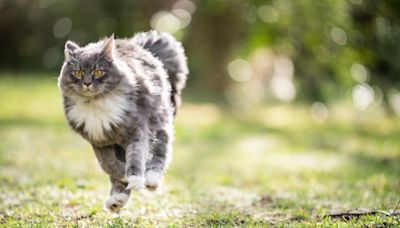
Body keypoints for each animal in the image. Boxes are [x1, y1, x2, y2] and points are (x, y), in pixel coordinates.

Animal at [57, 30, 188, 212]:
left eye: (98, 72)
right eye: (78, 73)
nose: (87, 83)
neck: (96, 105)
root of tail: (142, 47)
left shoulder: (137, 130)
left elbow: (135, 157)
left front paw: (135, 178)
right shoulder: (99, 141)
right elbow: (109, 164)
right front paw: (123, 178)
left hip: (159, 122)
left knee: (161, 149)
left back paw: (151, 179)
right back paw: (116, 201)